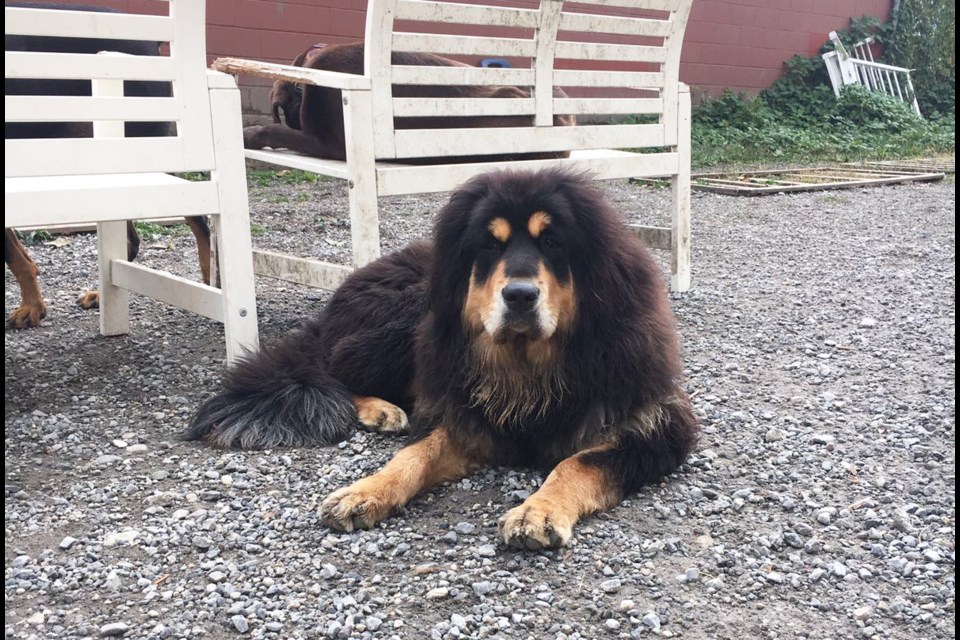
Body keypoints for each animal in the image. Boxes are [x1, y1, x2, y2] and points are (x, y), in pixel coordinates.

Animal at [3, 2, 214, 328]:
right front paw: (33, 304)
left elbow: (13, 256)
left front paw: (31, 308)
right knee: (131, 239)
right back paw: (103, 295)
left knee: (198, 220)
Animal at [188, 170, 696, 552]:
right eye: (489, 246)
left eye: (553, 242)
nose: (520, 295)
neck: (527, 366)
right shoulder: (465, 412)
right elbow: (417, 452)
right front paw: (366, 490)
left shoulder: (655, 426)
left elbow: (579, 463)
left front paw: (538, 509)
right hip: (407, 321)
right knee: (332, 371)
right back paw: (381, 410)